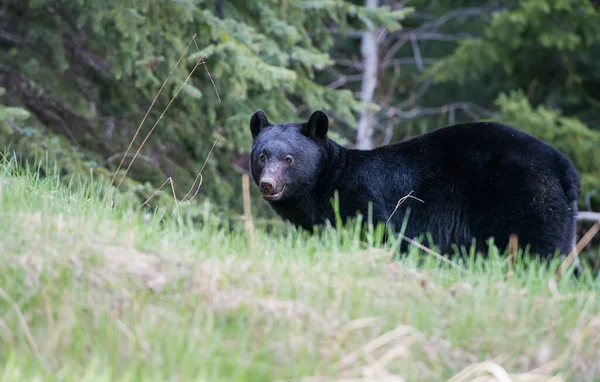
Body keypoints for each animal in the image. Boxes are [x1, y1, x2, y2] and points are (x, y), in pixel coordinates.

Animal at [248, 109, 580, 260]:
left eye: (289, 159)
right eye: (262, 156)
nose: (268, 184)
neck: (327, 183)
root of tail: (564, 167)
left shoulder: (361, 200)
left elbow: (375, 231)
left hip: (524, 199)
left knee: (539, 248)